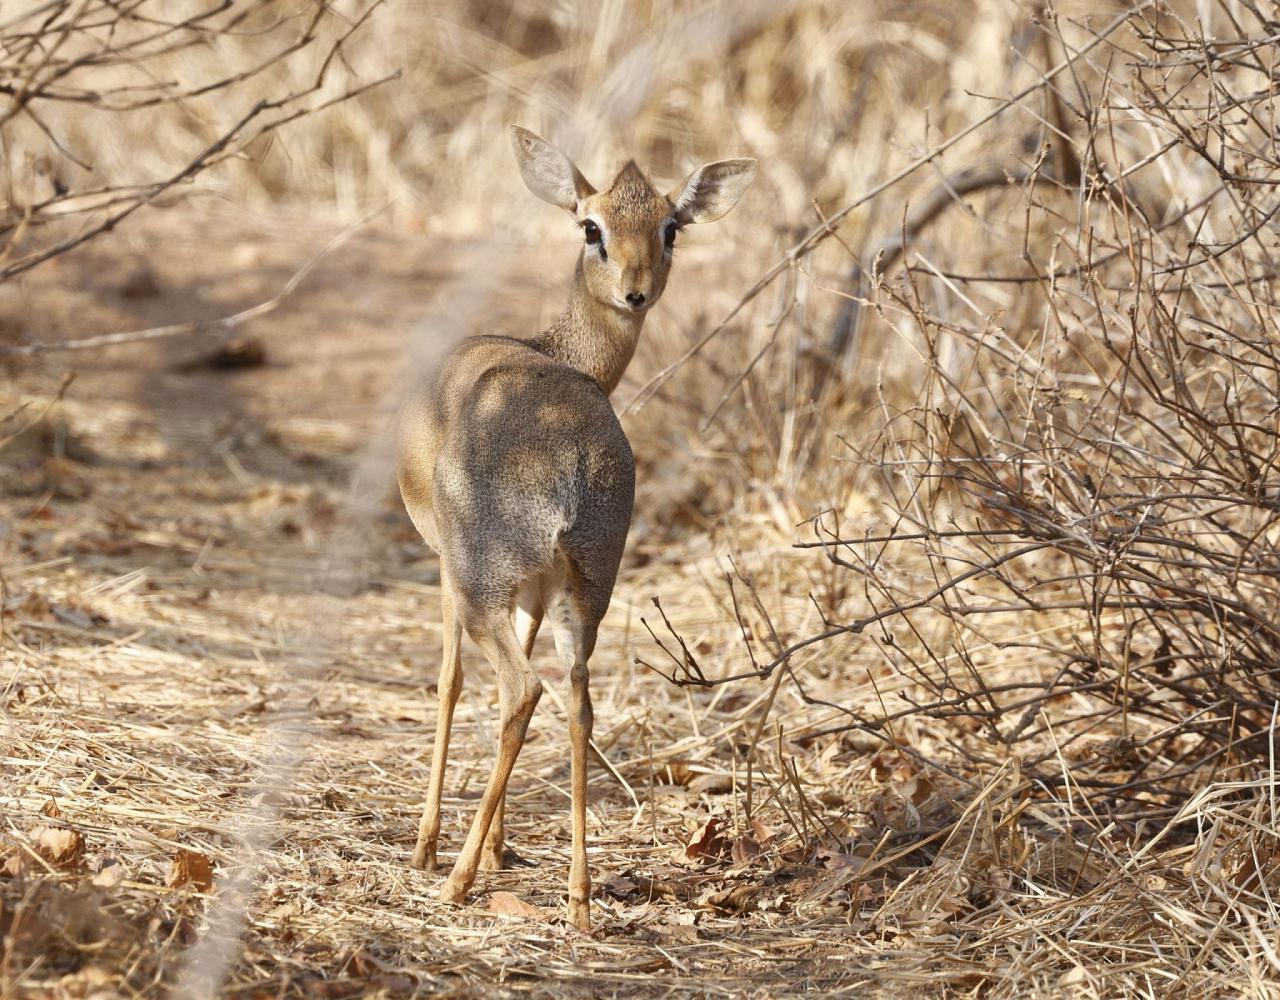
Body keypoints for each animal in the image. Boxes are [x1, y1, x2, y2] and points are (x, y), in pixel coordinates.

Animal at [399, 126, 752, 927]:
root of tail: (572, 460)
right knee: (580, 702)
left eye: (669, 224)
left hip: (483, 585)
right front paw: (500, 848)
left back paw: (455, 880)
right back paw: (580, 895)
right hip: (587, 590)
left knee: (521, 690)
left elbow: (447, 681)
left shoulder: (450, 572)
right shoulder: (535, 590)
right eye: (592, 226)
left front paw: (431, 845)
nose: (636, 289)